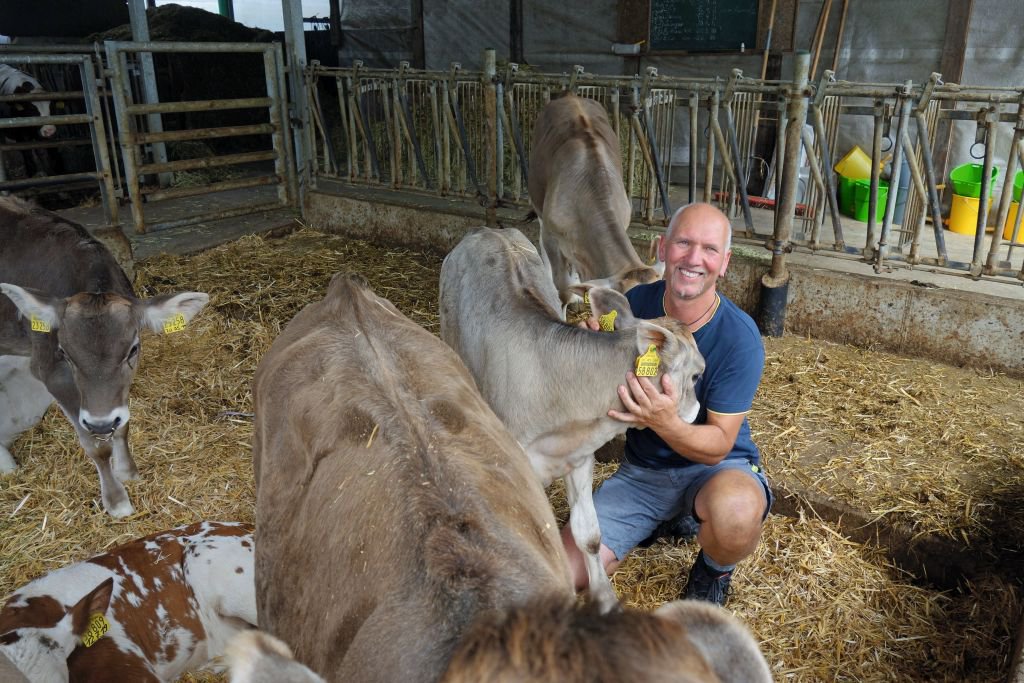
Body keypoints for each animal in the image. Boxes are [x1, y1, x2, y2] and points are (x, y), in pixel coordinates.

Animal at [0, 194, 207, 516]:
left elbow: (122, 427)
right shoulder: (49, 370)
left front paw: (128, 472)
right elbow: (95, 445)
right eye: (64, 353)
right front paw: (117, 501)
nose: (100, 424)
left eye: (133, 348)